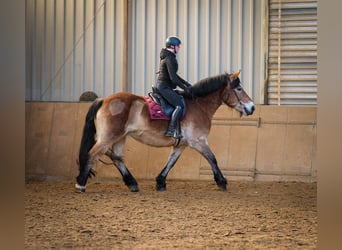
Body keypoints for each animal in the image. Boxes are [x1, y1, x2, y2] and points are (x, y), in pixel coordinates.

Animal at [76, 69, 255, 192]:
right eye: (239, 89)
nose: (252, 107)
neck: (199, 106)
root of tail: (103, 100)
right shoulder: (198, 141)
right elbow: (212, 159)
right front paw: (222, 182)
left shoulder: (181, 144)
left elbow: (171, 161)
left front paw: (160, 182)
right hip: (108, 137)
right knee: (93, 154)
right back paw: (81, 183)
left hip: (120, 137)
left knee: (116, 157)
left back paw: (132, 183)